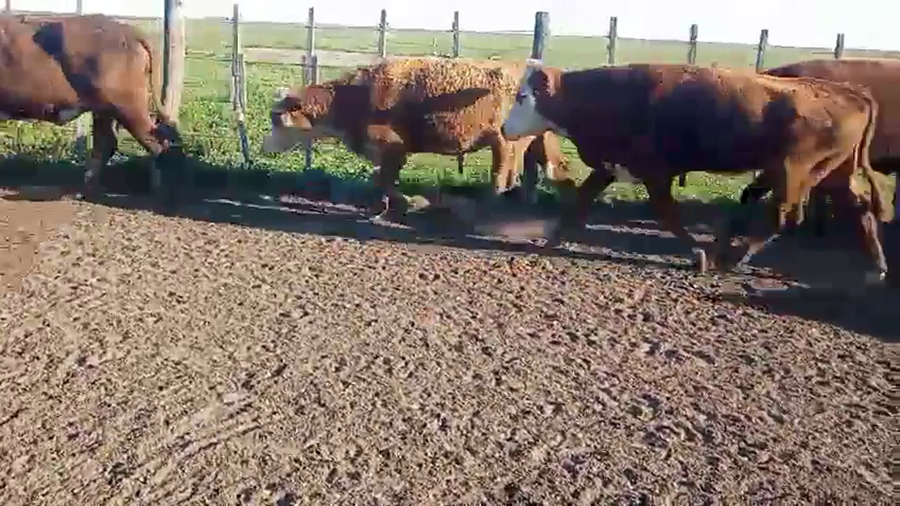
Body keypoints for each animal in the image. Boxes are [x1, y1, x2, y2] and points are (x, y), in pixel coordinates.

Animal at [0, 14, 185, 206]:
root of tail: (128, 31)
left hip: (128, 109)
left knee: (158, 143)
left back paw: (165, 197)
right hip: (104, 111)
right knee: (107, 144)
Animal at [262, 57, 574, 221]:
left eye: (276, 119)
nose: (264, 146)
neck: (354, 96)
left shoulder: (393, 147)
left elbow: (384, 179)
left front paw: (406, 203)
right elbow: (380, 179)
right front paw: (382, 207)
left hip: (505, 143)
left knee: (503, 174)